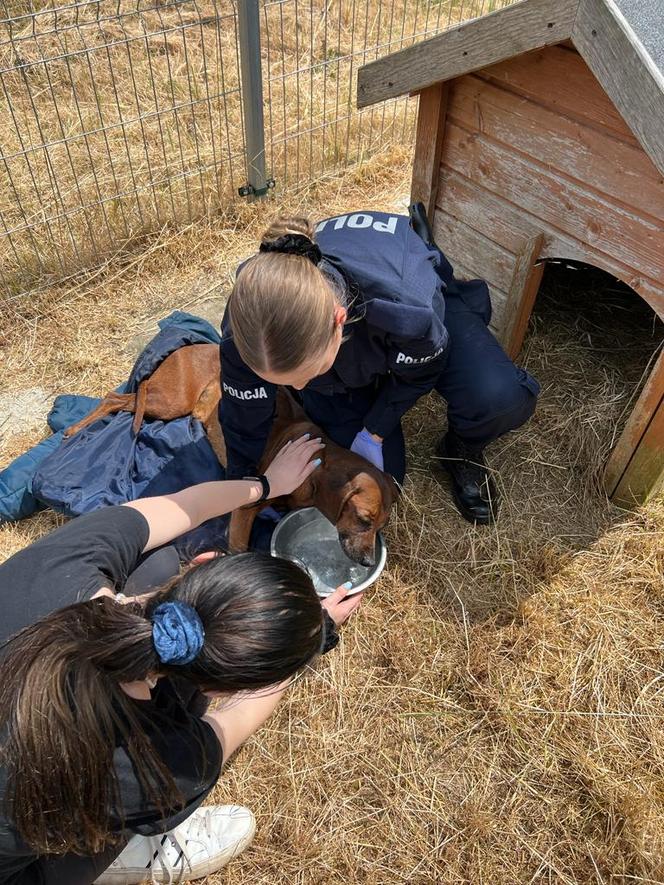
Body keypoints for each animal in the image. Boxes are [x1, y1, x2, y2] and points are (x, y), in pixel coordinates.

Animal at [65, 342, 396, 564]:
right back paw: (73, 430)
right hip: (170, 401)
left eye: (380, 526)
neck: (317, 463)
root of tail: (190, 346)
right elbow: (239, 545)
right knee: (115, 398)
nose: (368, 562)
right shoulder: (246, 506)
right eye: (364, 520)